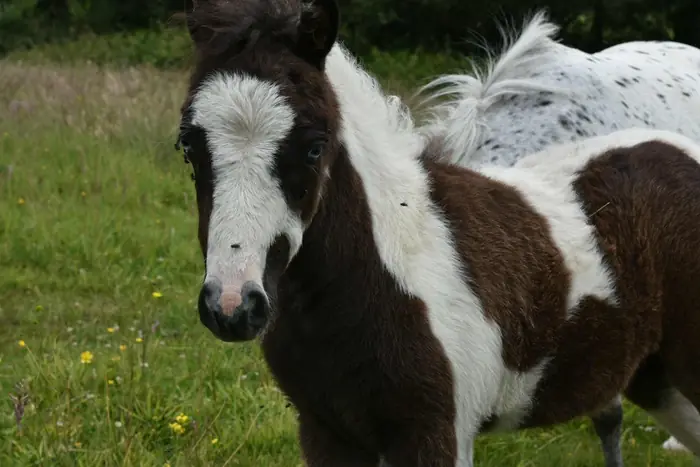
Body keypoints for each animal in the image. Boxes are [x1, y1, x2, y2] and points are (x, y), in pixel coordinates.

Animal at [176, 0, 700, 465]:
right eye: (188, 145)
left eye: (313, 146)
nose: (233, 306)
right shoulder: (326, 431)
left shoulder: (435, 433)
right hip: (658, 381)